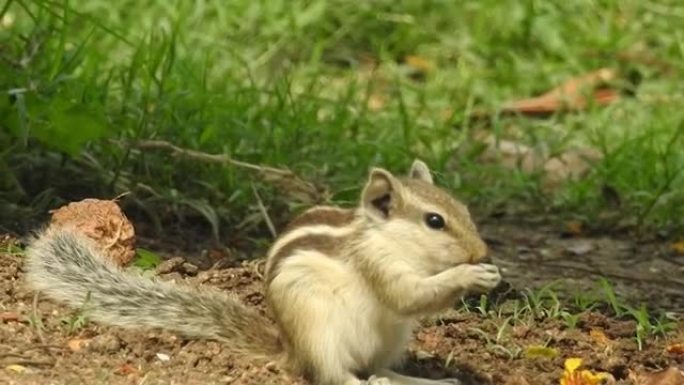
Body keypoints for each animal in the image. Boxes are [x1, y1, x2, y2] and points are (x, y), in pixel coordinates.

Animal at [24, 159, 502, 384]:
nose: (481, 251)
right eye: (435, 221)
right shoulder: (376, 264)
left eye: (463, 210)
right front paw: (471, 277)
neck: (386, 240)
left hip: (392, 338)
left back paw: (421, 380)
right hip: (320, 331)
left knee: (377, 367)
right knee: (335, 375)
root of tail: (290, 349)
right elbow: (408, 296)